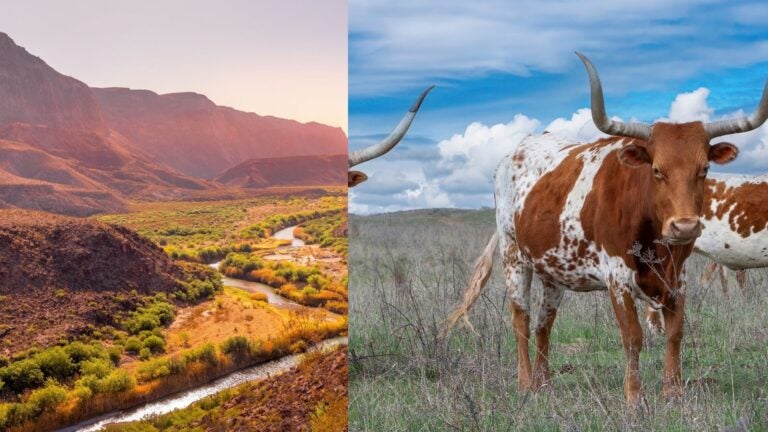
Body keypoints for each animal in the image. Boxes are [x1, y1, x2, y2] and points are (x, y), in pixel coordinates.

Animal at [442, 53, 768, 409]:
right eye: (657, 170)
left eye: (704, 169)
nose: (685, 225)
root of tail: (516, 151)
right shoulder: (617, 277)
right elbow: (633, 336)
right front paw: (635, 397)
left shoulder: (676, 276)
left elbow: (675, 332)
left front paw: (673, 392)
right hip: (513, 256)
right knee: (522, 320)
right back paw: (526, 383)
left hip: (552, 269)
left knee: (544, 323)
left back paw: (544, 383)